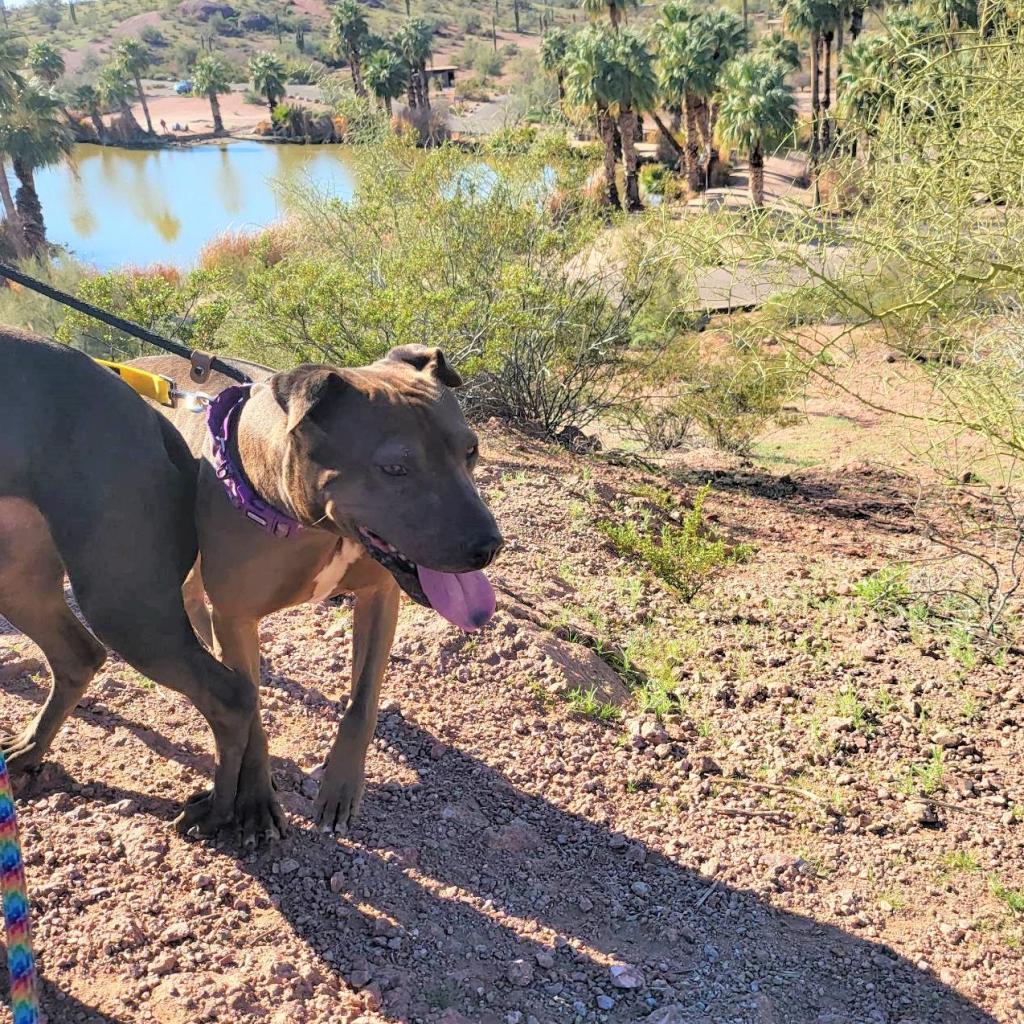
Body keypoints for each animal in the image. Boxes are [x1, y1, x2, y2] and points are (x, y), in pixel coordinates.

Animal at [136, 346, 503, 831]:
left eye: (471, 451)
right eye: (395, 468)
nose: (489, 546)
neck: (318, 527)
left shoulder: (379, 599)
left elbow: (362, 703)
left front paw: (341, 788)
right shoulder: (237, 619)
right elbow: (251, 715)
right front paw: (255, 800)